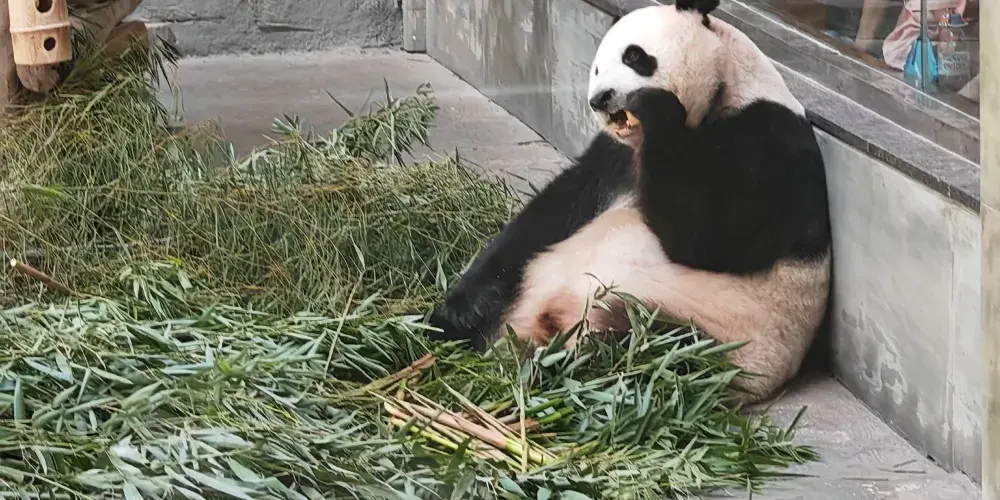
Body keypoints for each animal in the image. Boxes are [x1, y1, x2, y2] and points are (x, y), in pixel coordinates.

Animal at [427, 0, 832, 404]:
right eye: (596, 68)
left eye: (634, 56)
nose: (600, 98)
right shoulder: (616, 155)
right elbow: (559, 207)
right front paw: (458, 309)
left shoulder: (770, 140)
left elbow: (716, 238)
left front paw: (656, 108)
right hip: (529, 288)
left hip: (709, 333)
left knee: (650, 355)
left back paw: (566, 370)